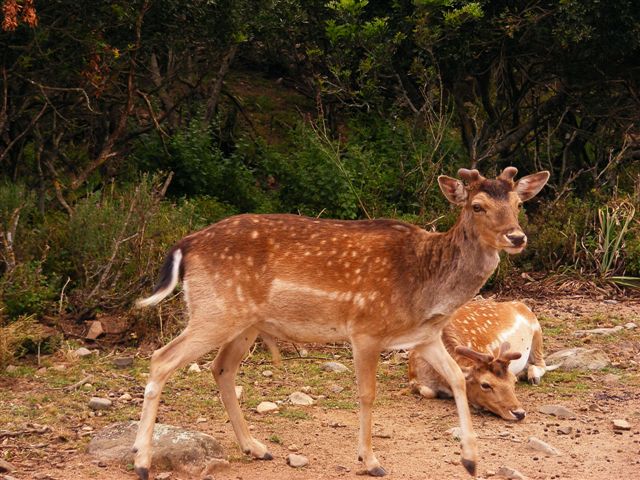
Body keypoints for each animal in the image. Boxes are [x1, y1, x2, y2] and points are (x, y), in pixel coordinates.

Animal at [410, 300, 552, 420]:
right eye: (485, 385)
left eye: (513, 381)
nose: (519, 413)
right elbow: (428, 392)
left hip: (537, 333)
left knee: (541, 364)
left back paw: (532, 376)